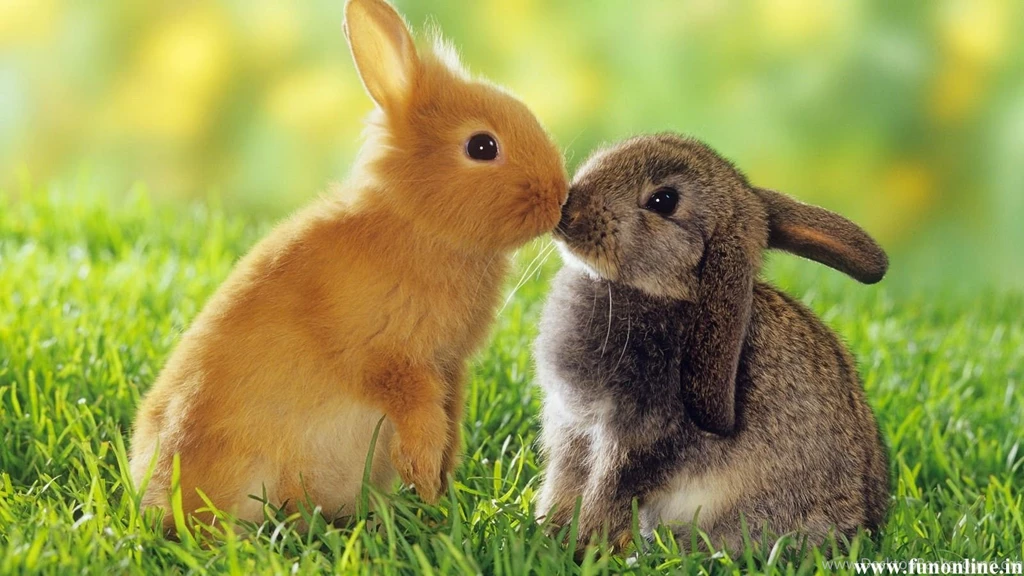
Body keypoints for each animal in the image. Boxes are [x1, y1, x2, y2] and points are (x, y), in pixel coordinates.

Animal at [129, 0, 567, 531]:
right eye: (482, 146)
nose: (560, 197)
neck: (416, 223)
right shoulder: (393, 361)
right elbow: (420, 418)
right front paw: (425, 483)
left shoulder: (449, 368)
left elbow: (449, 422)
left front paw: (439, 490)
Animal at [533, 133, 890, 552]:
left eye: (664, 201)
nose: (568, 211)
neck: (669, 292)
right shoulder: (572, 428)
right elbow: (564, 484)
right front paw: (547, 532)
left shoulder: (637, 438)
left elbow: (607, 492)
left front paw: (580, 545)